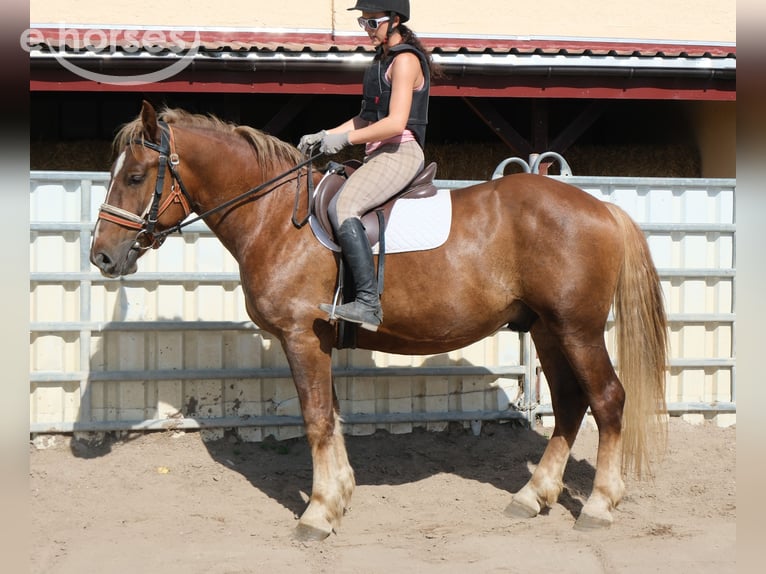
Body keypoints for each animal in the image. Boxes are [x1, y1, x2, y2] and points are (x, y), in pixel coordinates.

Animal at [90, 100, 668, 540]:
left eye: (136, 176)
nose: (102, 257)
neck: (276, 218)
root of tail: (601, 207)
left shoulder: (301, 338)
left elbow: (316, 419)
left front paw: (317, 514)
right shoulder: (319, 341)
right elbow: (332, 416)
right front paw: (340, 495)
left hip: (577, 330)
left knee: (607, 399)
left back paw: (598, 505)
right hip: (547, 330)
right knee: (570, 403)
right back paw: (532, 496)